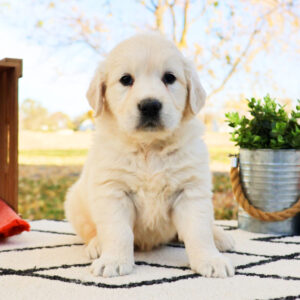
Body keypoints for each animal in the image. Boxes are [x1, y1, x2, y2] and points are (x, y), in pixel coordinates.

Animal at [64, 32, 236, 278]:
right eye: (126, 79)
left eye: (169, 78)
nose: (150, 105)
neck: (149, 148)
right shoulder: (112, 191)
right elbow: (118, 232)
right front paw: (114, 260)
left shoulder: (191, 191)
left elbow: (198, 231)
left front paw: (210, 260)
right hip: (75, 203)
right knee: (91, 231)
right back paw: (97, 245)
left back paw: (220, 237)